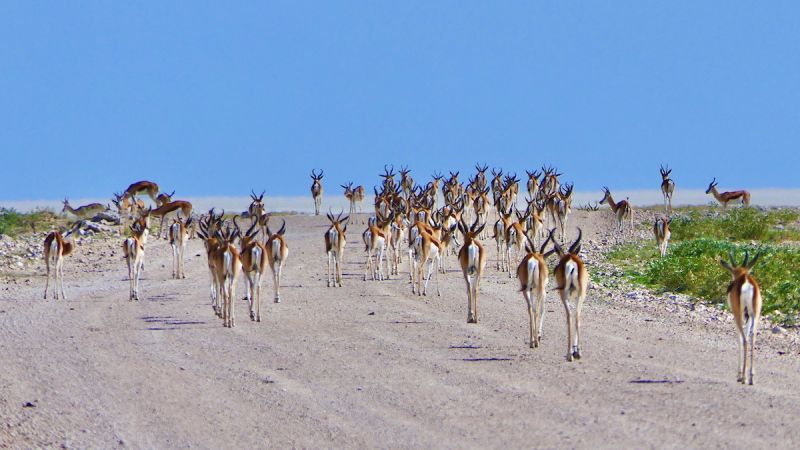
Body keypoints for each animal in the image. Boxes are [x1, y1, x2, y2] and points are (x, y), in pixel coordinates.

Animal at [552, 229, 592, 362]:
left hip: (566, 295)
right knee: (575, 316)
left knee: (571, 316)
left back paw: (572, 354)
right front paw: (575, 350)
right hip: (578, 294)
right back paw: (575, 353)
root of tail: (570, 263)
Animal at [720, 248, 764, 384]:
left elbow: (739, 338)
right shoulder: (749, 316)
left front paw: (739, 374)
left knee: (744, 339)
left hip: (739, 314)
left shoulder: (736, 315)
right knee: (753, 337)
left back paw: (744, 377)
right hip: (756, 314)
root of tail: (746, 280)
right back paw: (751, 378)